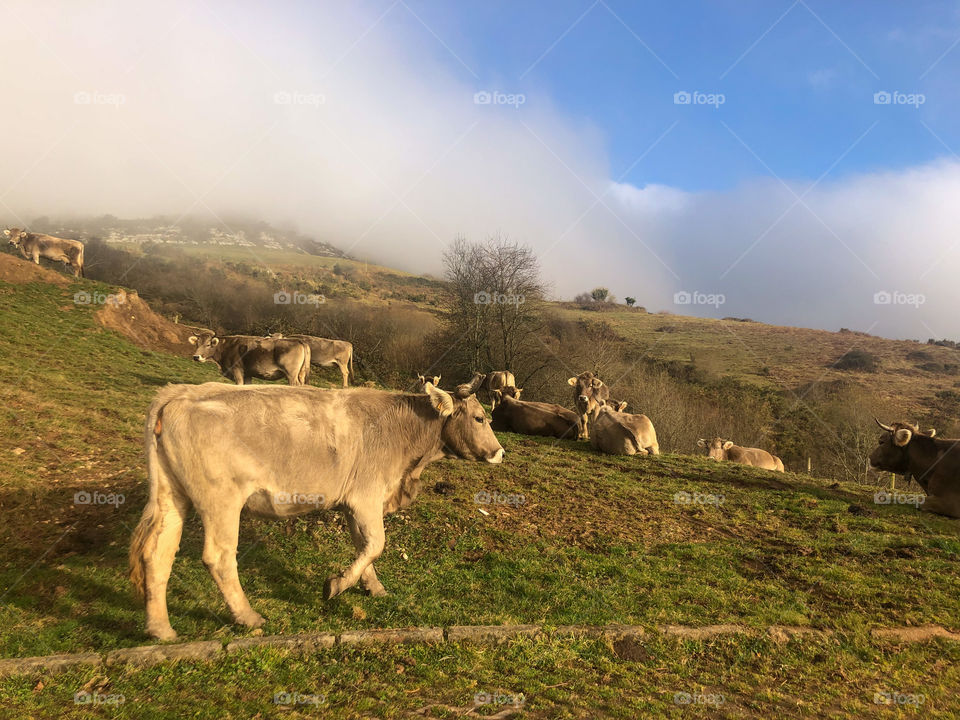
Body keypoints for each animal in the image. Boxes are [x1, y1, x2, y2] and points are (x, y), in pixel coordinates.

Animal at [128, 375, 503, 640]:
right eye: (480, 418)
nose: (500, 452)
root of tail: (179, 393)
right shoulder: (366, 497)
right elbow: (376, 544)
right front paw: (336, 585)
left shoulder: (353, 503)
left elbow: (364, 546)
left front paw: (372, 587)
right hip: (221, 500)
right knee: (218, 557)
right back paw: (248, 616)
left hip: (171, 495)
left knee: (157, 553)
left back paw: (160, 628)